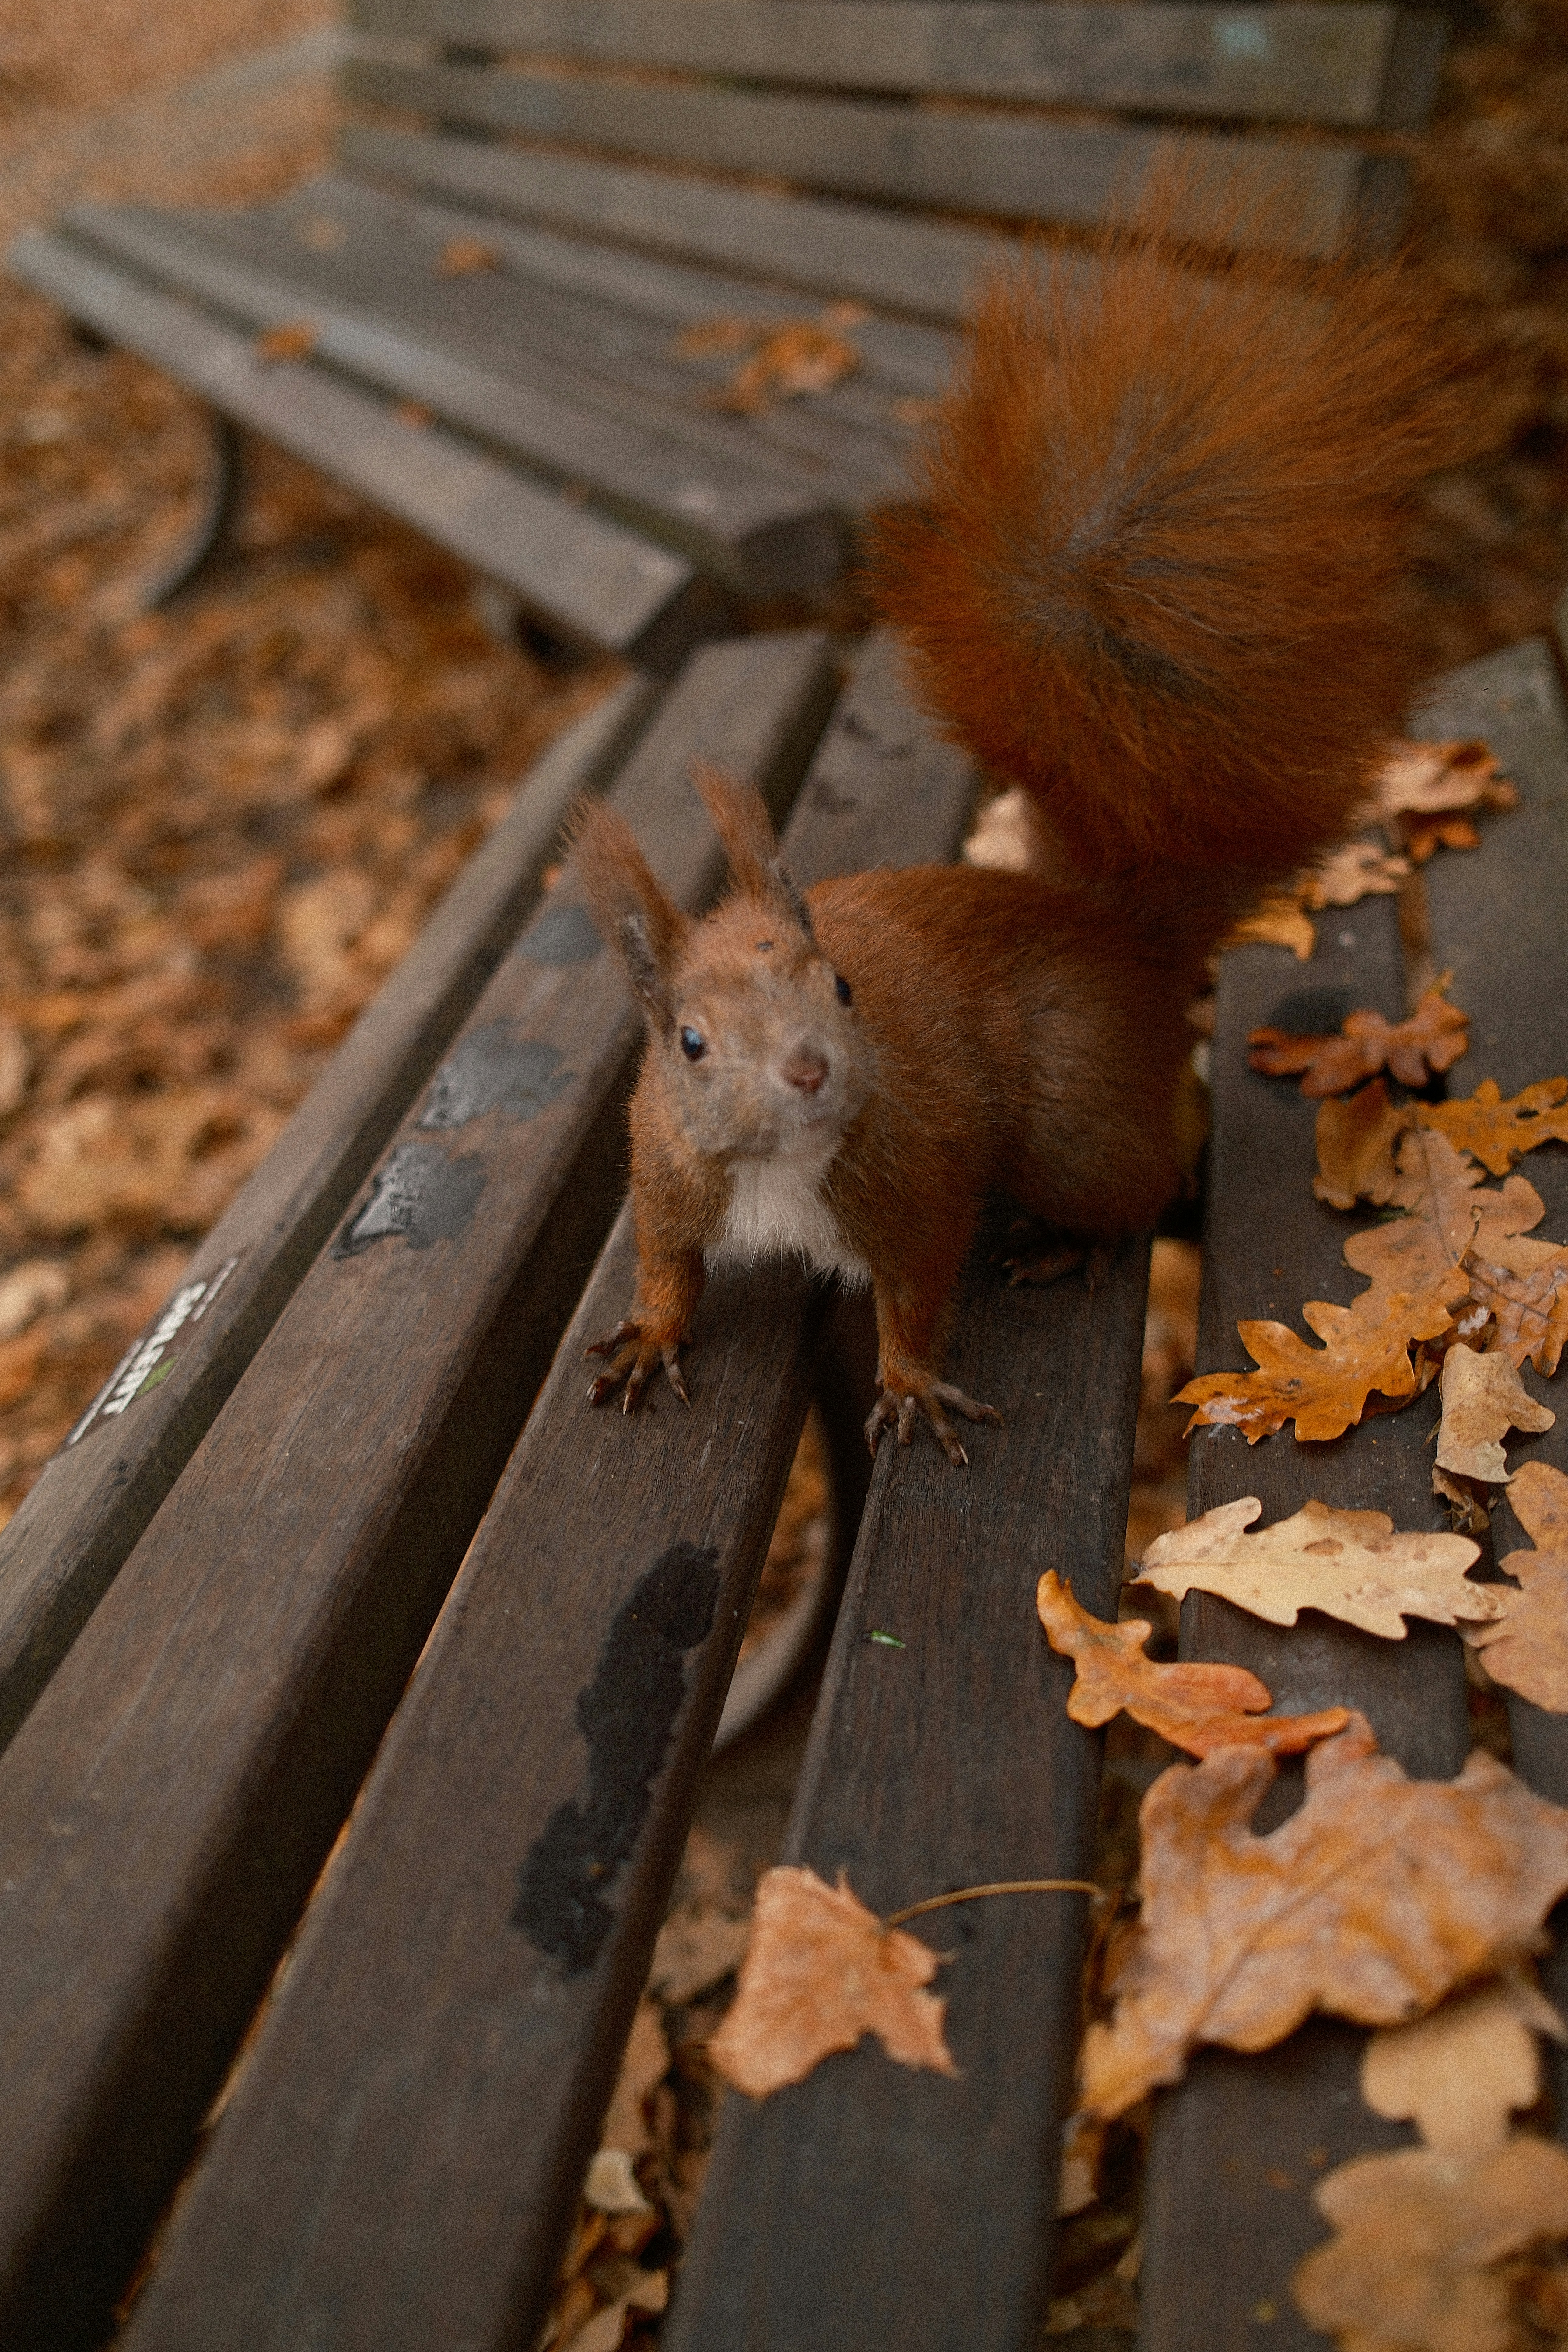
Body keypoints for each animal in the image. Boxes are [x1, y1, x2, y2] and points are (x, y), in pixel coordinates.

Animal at [568, 228, 1450, 1464]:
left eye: (843, 989)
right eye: (688, 1044)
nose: (812, 1070)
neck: (778, 1173)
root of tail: (1118, 931)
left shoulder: (918, 1180)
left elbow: (917, 1290)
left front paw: (909, 1381)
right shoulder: (665, 1176)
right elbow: (667, 1265)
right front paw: (650, 1332)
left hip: (1070, 1121)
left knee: (1142, 1179)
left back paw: (1075, 1238)